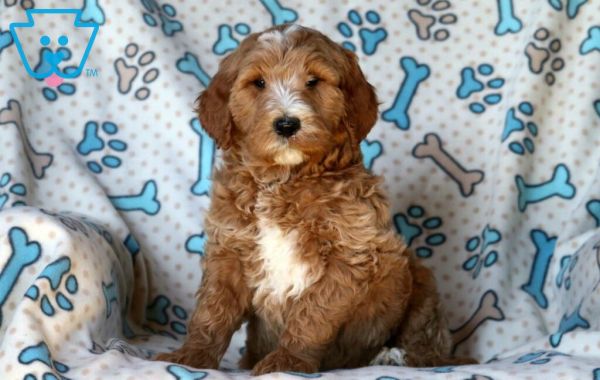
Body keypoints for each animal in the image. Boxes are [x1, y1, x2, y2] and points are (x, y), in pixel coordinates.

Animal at [154, 25, 468, 376]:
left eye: (314, 81)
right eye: (258, 83)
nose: (287, 124)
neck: (283, 180)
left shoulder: (348, 254)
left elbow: (311, 314)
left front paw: (287, 361)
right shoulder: (229, 250)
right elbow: (212, 309)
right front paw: (191, 356)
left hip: (420, 283)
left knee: (425, 347)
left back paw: (393, 356)